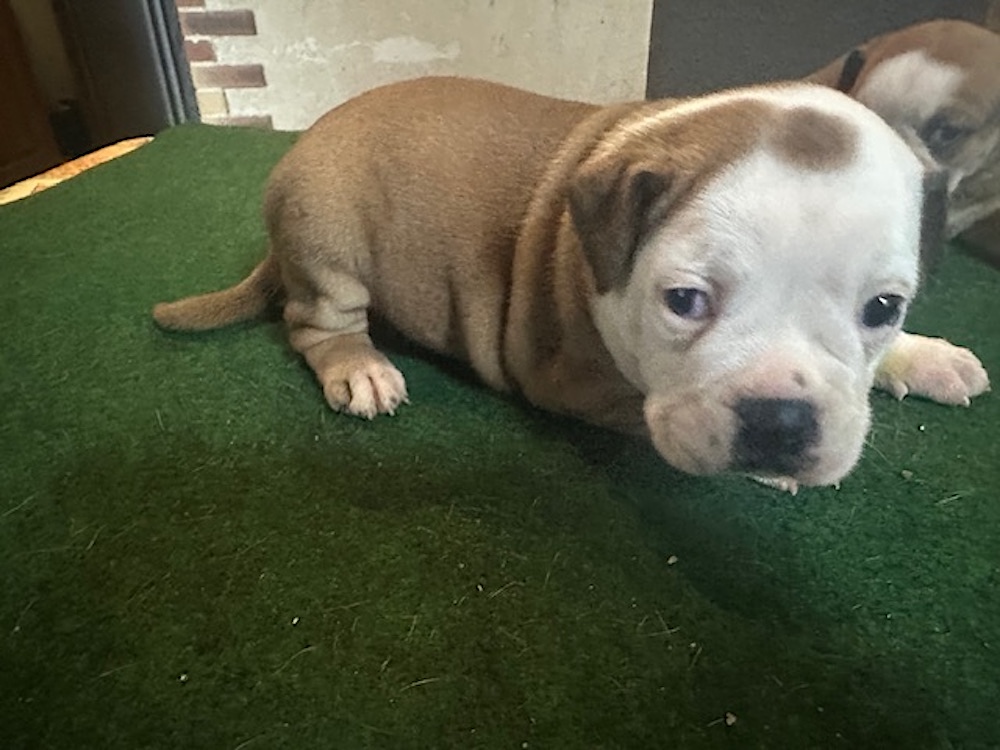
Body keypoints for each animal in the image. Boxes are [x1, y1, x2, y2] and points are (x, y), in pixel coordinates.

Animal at [153, 77, 989, 492]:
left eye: (883, 308)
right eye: (684, 302)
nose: (781, 424)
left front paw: (925, 356)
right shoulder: (571, 379)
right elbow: (645, 417)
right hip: (328, 237)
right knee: (314, 323)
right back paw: (359, 368)